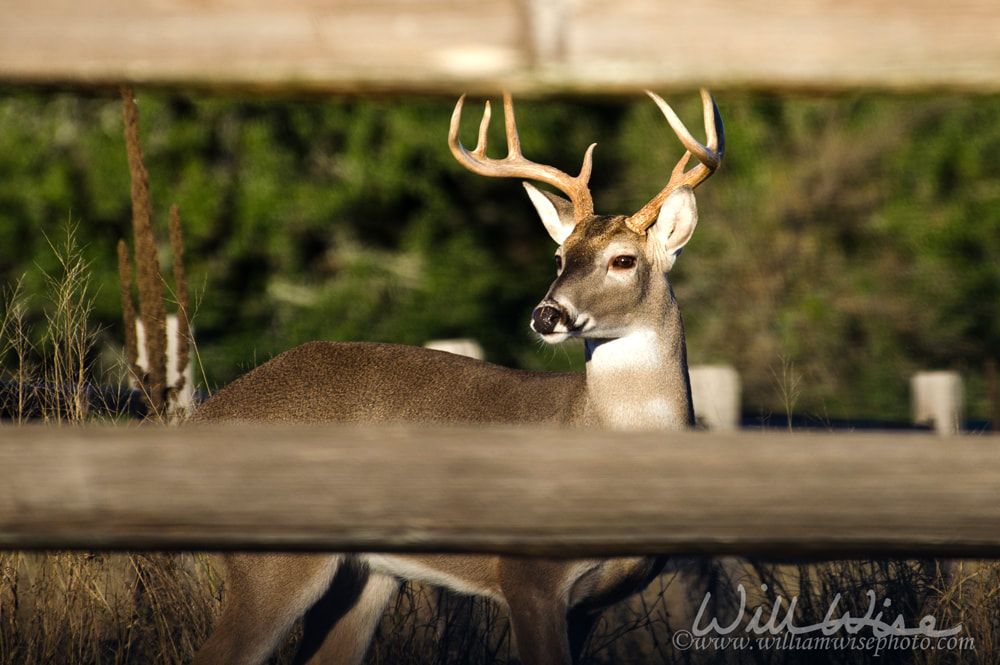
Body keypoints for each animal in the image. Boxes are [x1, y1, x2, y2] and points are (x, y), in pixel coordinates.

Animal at [188, 89, 724, 664]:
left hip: (364, 577)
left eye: (623, 260)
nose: (545, 315)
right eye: (559, 256)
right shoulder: (528, 577)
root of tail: (199, 417)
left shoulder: (592, 605)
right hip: (270, 562)